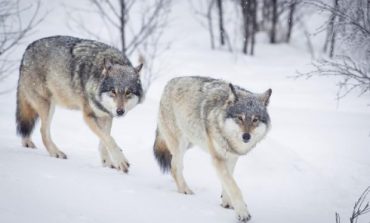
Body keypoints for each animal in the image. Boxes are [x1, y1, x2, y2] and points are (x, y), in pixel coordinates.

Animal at [15, 35, 144, 173]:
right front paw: (120, 161)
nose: (120, 111)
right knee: (43, 131)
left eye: (128, 92)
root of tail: (27, 49)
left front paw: (107, 162)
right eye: (113, 91)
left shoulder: (106, 116)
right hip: (46, 106)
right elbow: (110, 139)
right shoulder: (88, 116)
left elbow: (104, 140)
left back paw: (27, 143)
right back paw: (56, 153)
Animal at [153, 76, 272, 221]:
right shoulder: (218, 158)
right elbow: (234, 186)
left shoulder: (232, 158)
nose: (246, 136)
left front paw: (227, 202)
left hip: (191, 142)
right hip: (180, 144)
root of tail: (170, 82)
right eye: (240, 118)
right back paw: (185, 191)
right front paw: (242, 212)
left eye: (255, 120)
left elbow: (228, 182)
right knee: (175, 167)